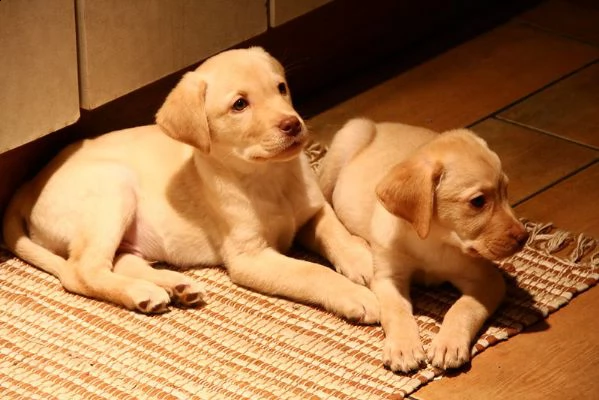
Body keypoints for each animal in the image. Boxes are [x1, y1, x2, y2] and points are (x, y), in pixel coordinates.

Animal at [3, 47, 380, 322]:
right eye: (239, 104)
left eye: (281, 88)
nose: (293, 124)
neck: (268, 177)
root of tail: (29, 183)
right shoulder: (251, 257)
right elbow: (311, 272)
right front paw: (356, 296)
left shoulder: (312, 210)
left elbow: (336, 231)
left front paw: (362, 260)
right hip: (112, 188)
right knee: (81, 271)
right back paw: (143, 293)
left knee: (118, 260)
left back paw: (175, 287)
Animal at [322, 119, 528, 372]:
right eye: (478, 201)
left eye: (505, 191)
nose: (524, 237)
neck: (433, 240)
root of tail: (380, 123)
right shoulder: (388, 278)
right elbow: (396, 311)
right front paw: (403, 348)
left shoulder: (487, 279)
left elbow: (464, 308)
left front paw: (449, 343)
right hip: (345, 142)